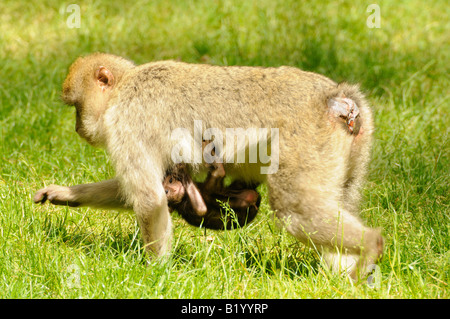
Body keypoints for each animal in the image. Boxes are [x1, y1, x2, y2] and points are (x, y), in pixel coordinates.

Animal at [33, 53, 384, 278]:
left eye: (76, 106)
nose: (78, 127)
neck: (125, 87)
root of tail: (335, 97)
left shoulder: (129, 120)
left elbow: (149, 198)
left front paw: (155, 275)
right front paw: (66, 194)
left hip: (308, 140)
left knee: (294, 209)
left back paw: (370, 246)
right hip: (355, 142)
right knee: (338, 199)